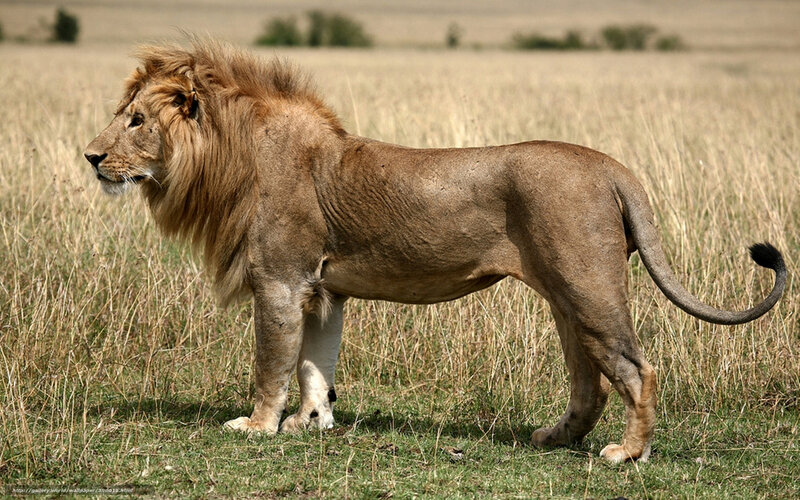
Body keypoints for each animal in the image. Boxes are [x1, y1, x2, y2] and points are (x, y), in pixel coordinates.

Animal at [83, 39, 786, 463]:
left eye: (136, 120)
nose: (90, 157)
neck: (232, 157)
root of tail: (613, 166)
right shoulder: (322, 288)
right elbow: (315, 364)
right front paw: (312, 423)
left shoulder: (280, 280)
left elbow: (271, 363)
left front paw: (256, 427)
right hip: (566, 295)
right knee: (590, 381)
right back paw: (552, 438)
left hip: (590, 286)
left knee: (638, 369)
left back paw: (625, 455)